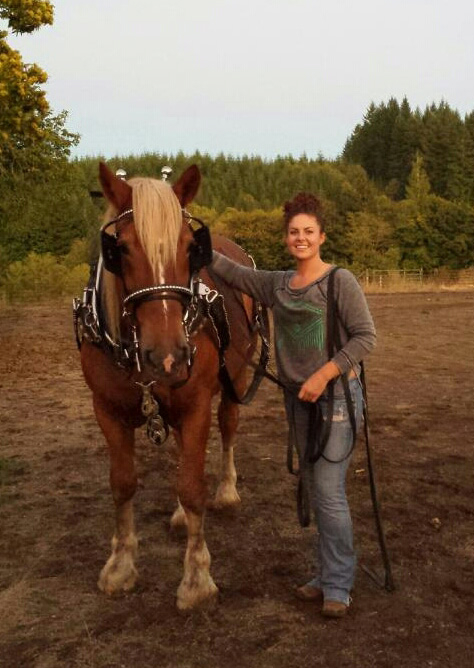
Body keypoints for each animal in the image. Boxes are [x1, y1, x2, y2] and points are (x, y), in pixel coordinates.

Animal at [76, 163, 262, 612]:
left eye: (190, 246)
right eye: (121, 249)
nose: (168, 356)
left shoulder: (195, 406)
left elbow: (192, 487)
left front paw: (197, 579)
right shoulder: (106, 410)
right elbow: (122, 483)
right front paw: (120, 566)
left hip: (233, 382)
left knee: (227, 428)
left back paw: (226, 490)